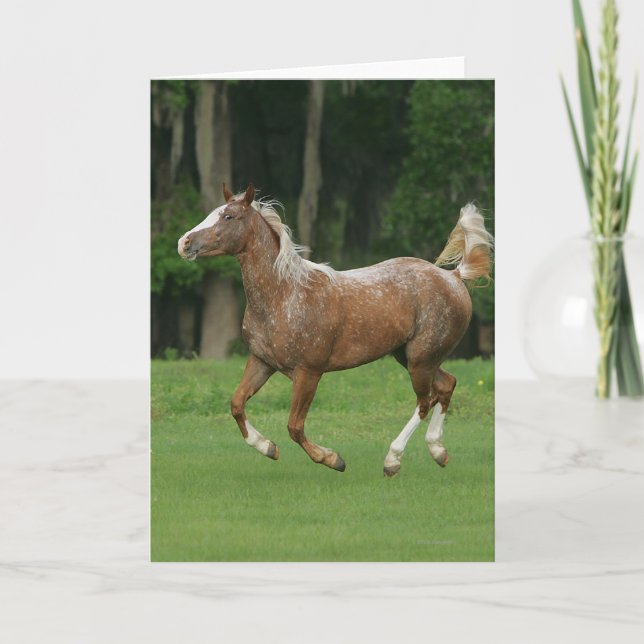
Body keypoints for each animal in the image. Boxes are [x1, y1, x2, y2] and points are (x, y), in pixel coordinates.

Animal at [178, 183, 493, 476]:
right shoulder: (262, 362)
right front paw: (268, 448)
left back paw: (392, 461)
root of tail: (454, 277)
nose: (184, 242)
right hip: (412, 357)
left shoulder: (308, 372)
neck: (284, 295)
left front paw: (333, 459)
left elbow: (294, 426)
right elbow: (237, 403)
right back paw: (438, 452)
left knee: (425, 401)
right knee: (446, 385)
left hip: (420, 359)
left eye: (228, 216)